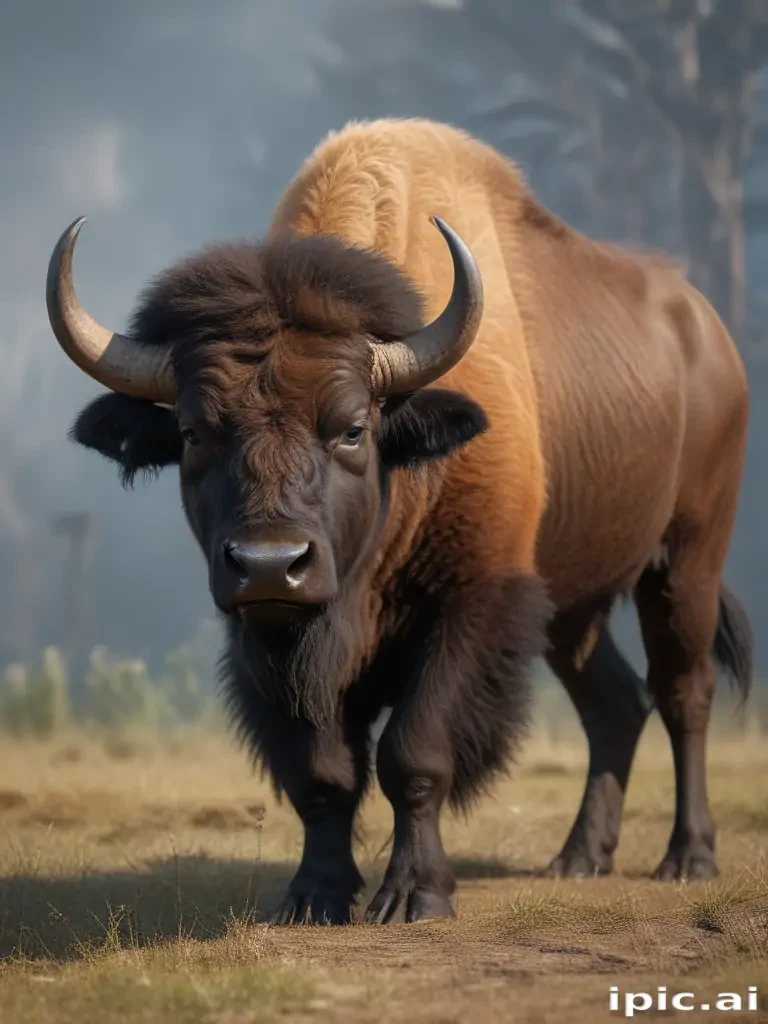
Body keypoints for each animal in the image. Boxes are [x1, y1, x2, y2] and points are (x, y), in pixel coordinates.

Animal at [46, 118, 752, 923]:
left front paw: (415, 894)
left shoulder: (469, 605)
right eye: (193, 434)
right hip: (575, 607)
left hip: (686, 563)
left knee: (683, 693)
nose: (269, 564)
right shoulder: (272, 640)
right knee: (615, 704)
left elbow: (414, 753)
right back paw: (578, 859)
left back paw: (687, 859)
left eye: (353, 429)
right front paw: (315, 895)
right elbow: (322, 772)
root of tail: (708, 334)